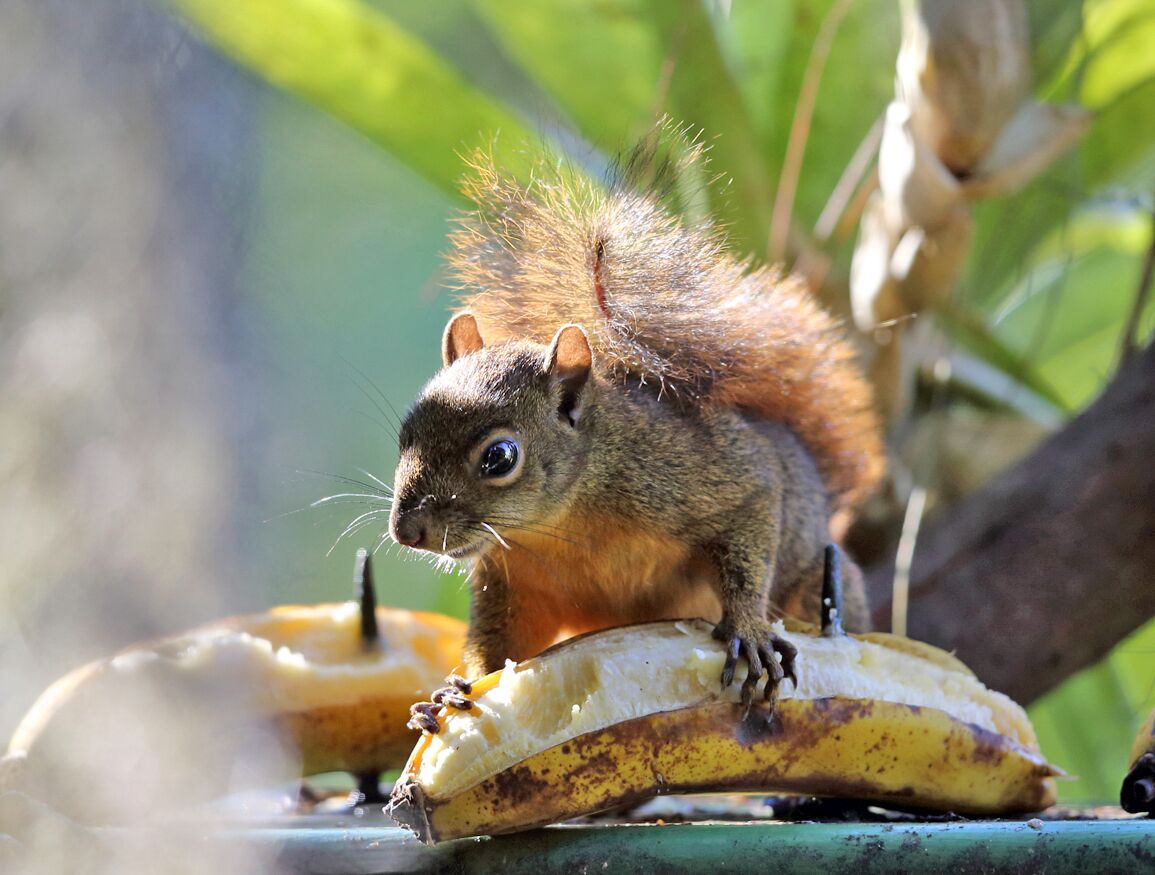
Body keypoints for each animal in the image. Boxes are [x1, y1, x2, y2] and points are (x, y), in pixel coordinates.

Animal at [390, 138, 884, 727]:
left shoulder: (704, 470)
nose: (406, 531)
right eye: (405, 432)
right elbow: (502, 643)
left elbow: (750, 524)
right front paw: (453, 690)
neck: (562, 522)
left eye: (499, 457)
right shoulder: (514, 581)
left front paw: (748, 629)